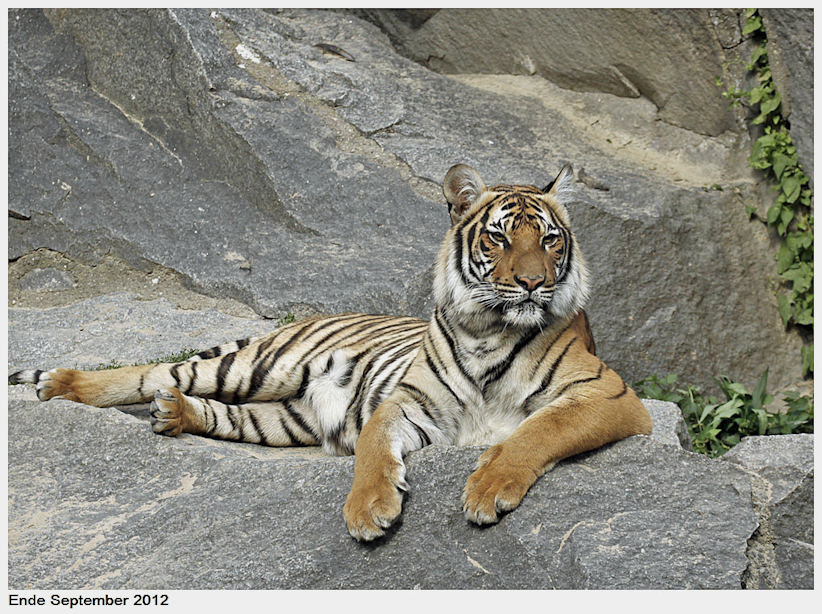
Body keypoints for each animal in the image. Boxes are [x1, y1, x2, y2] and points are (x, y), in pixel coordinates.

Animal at [9, 163, 652, 542]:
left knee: (219, 412)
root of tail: (307, 317)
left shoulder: (611, 395)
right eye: (497, 237)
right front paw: (369, 509)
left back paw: (174, 413)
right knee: (156, 370)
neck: (488, 330)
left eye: (550, 239)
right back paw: (60, 383)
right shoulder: (407, 402)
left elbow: (538, 430)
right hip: (257, 367)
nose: (533, 283)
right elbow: (371, 448)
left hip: (281, 418)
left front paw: (488, 487)